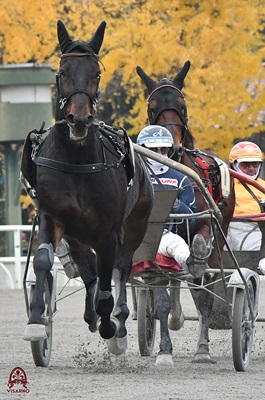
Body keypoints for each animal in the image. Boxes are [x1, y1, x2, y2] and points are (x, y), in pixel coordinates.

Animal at [21, 20, 153, 354]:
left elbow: (109, 276)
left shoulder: (108, 230)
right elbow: (43, 260)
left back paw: (116, 319)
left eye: (96, 73)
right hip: (77, 234)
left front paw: (109, 323)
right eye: (61, 72)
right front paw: (36, 321)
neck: (77, 159)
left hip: (136, 223)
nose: (78, 119)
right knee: (89, 270)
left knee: (120, 268)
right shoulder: (52, 217)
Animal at [135, 61, 234, 364]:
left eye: (182, 103)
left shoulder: (204, 224)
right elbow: (162, 297)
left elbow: (203, 290)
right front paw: (164, 350)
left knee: (201, 283)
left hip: (221, 233)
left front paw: (202, 350)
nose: (174, 145)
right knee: (172, 280)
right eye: (152, 105)